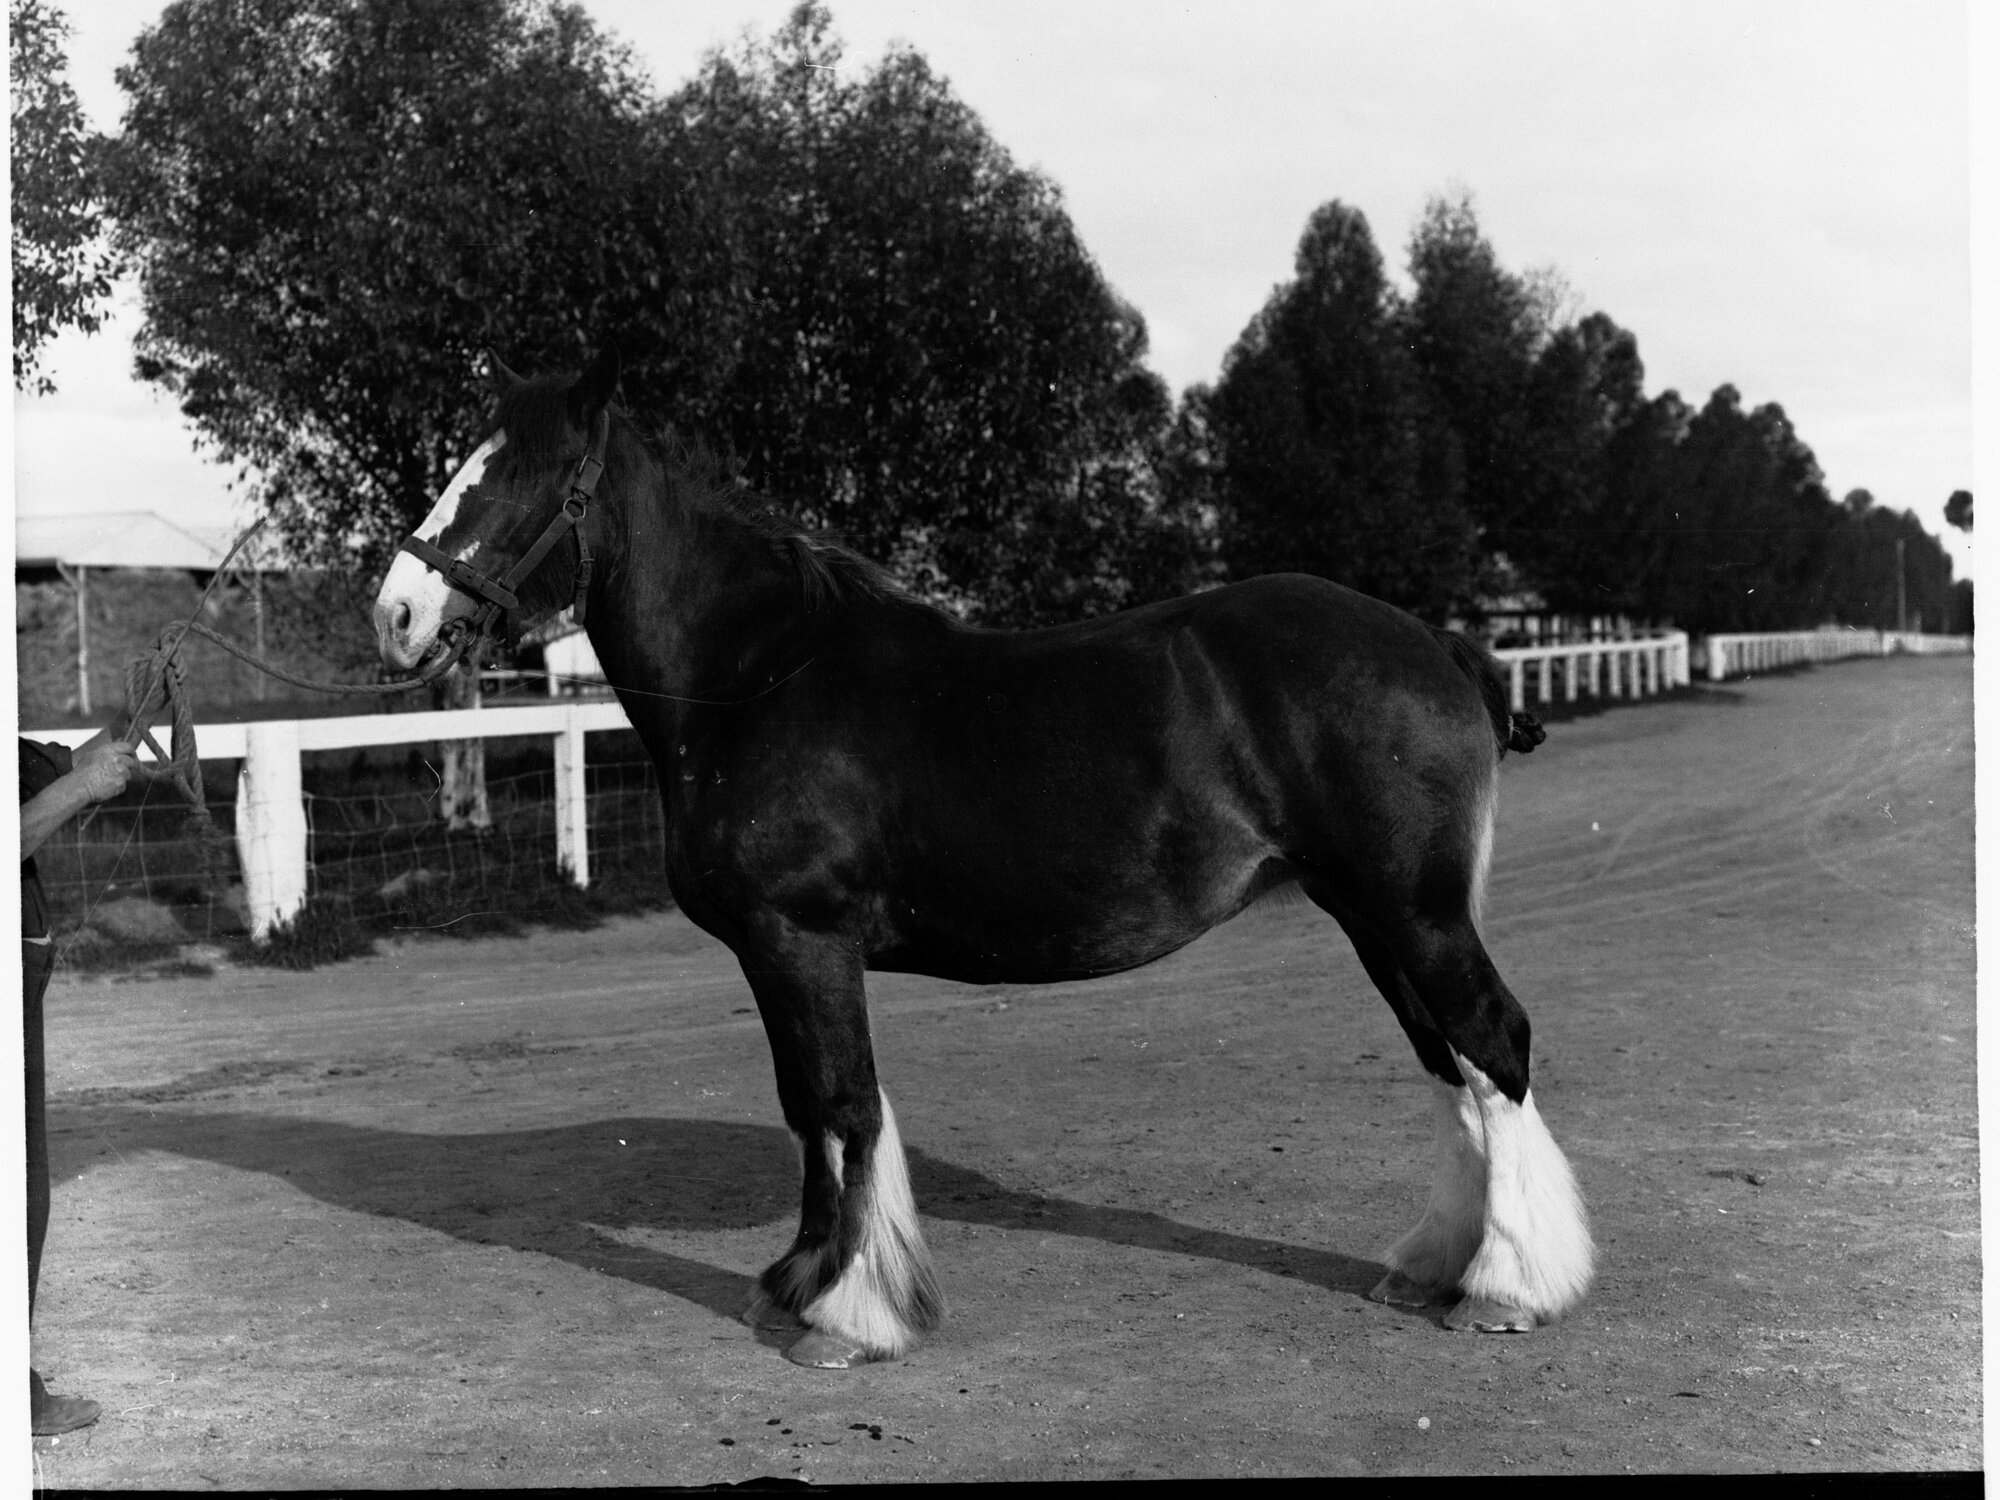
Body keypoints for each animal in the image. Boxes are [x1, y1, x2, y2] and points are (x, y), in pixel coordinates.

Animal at [373, 346, 1594, 1368]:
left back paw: (1507, 1291)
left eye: (519, 480)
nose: (395, 615)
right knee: (1449, 1063)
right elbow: (807, 1107)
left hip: (1414, 912)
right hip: (1370, 913)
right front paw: (798, 1284)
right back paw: (1437, 1270)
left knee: (1492, 1042)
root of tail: (1431, 640)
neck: (760, 678)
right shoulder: (775, 955)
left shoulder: (802, 942)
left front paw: (844, 1318)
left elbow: (842, 1107)